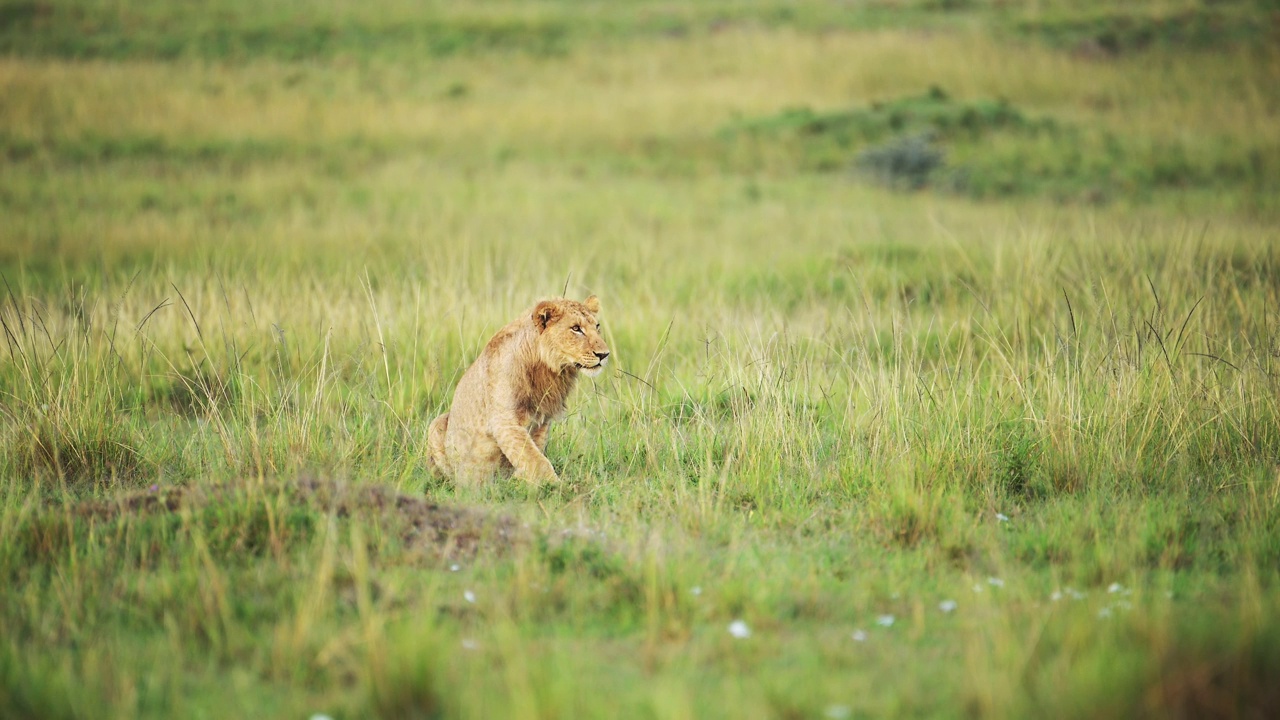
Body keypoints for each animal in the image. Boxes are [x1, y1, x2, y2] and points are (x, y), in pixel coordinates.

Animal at [424, 294, 609, 484]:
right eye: (576, 328)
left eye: (597, 327)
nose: (604, 354)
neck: (547, 369)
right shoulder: (505, 421)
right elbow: (536, 460)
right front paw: (558, 486)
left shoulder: (541, 421)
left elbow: (533, 456)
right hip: (436, 425)